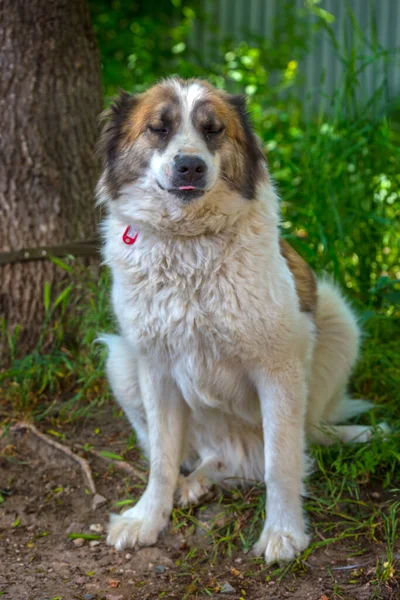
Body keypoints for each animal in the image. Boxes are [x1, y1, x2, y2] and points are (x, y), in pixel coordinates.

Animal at [96, 78, 378, 564]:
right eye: (158, 128)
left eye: (213, 130)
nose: (189, 166)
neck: (188, 243)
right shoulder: (154, 367)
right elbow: (161, 460)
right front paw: (148, 518)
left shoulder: (278, 368)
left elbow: (281, 463)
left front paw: (284, 533)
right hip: (120, 361)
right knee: (206, 458)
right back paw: (196, 481)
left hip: (336, 315)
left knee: (297, 441)